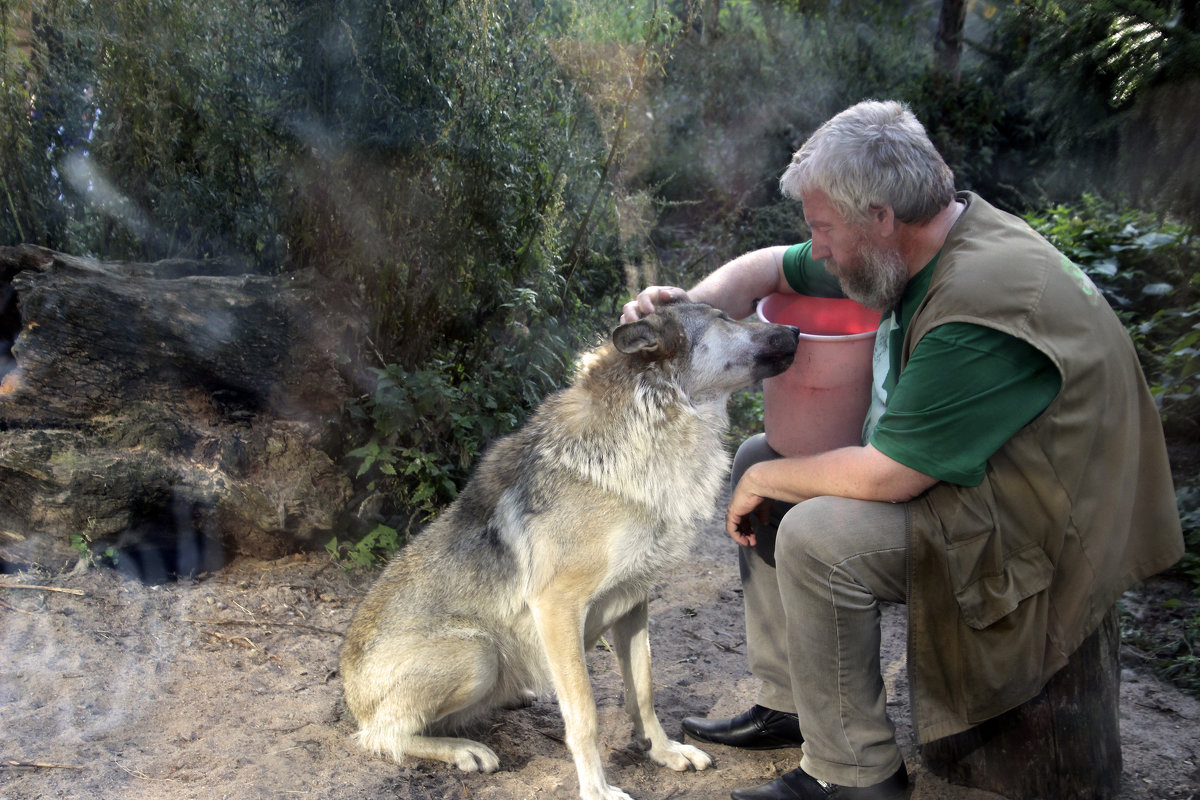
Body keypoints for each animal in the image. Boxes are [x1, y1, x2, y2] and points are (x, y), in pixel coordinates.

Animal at [343, 302, 801, 800]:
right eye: (724, 318)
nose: (796, 329)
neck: (650, 431)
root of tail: (348, 685)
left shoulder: (634, 603)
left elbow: (643, 691)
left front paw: (663, 752)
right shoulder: (558, 606)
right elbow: (585, 714)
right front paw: (597, 790)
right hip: (477, 654)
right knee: (379, 736)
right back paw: (465, 749)